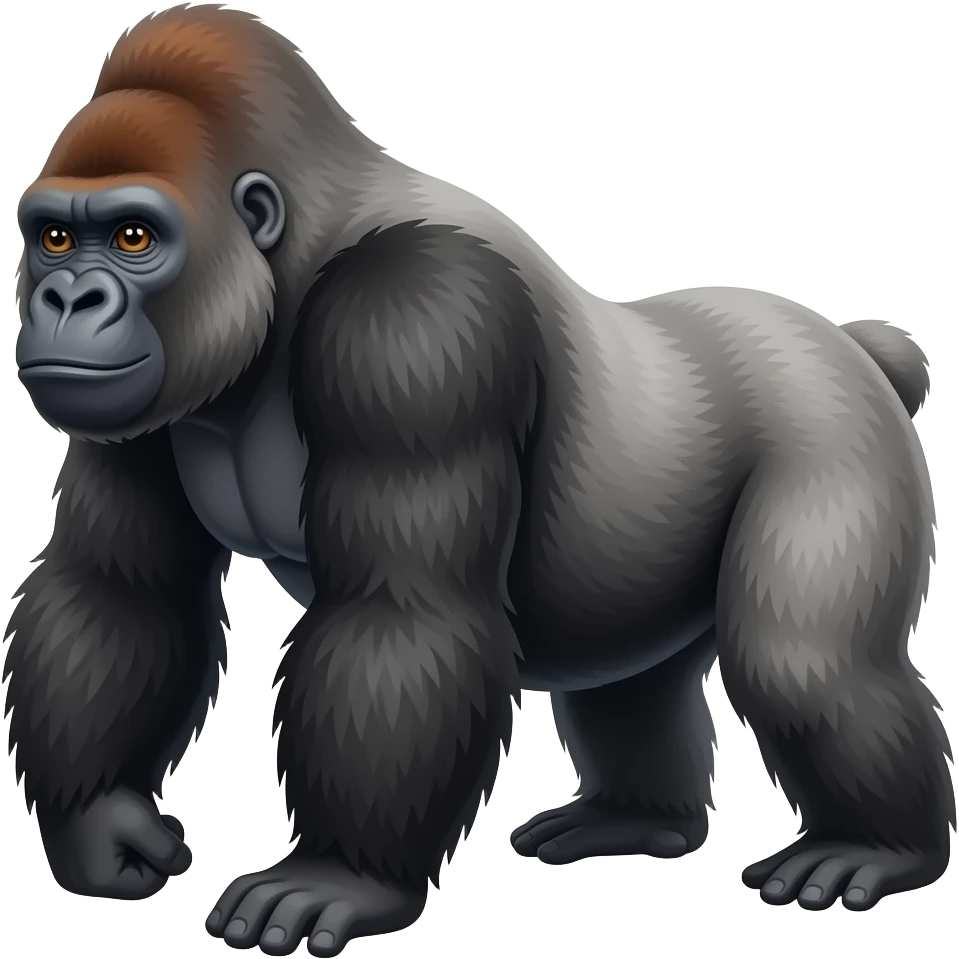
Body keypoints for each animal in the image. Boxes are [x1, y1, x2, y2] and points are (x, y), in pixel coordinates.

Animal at [4, 4, 953, 957]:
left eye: (134, 237)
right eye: (53, 237)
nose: (67, 301)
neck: (296, 250)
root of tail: (849, 341)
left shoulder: (414, 317)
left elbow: (403, 611)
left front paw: (342, 874)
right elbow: (118, 588)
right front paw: (100, 820)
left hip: (829, 424)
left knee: (803, 665)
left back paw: (878, 846)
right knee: (635, 686)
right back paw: (635, 818)